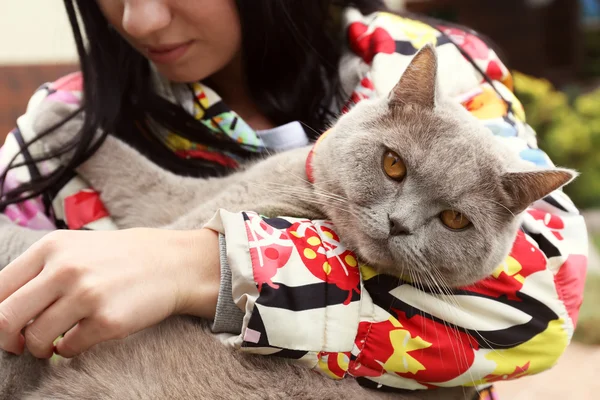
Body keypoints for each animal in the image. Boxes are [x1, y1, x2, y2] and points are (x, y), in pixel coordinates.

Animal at [0, 45, 572, 398]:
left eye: (454, 219)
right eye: (393, 164)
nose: (399, 223)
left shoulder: (174, 213)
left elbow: (62, 229)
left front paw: (56, 117)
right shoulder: (180, 199)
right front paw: (58, 113)